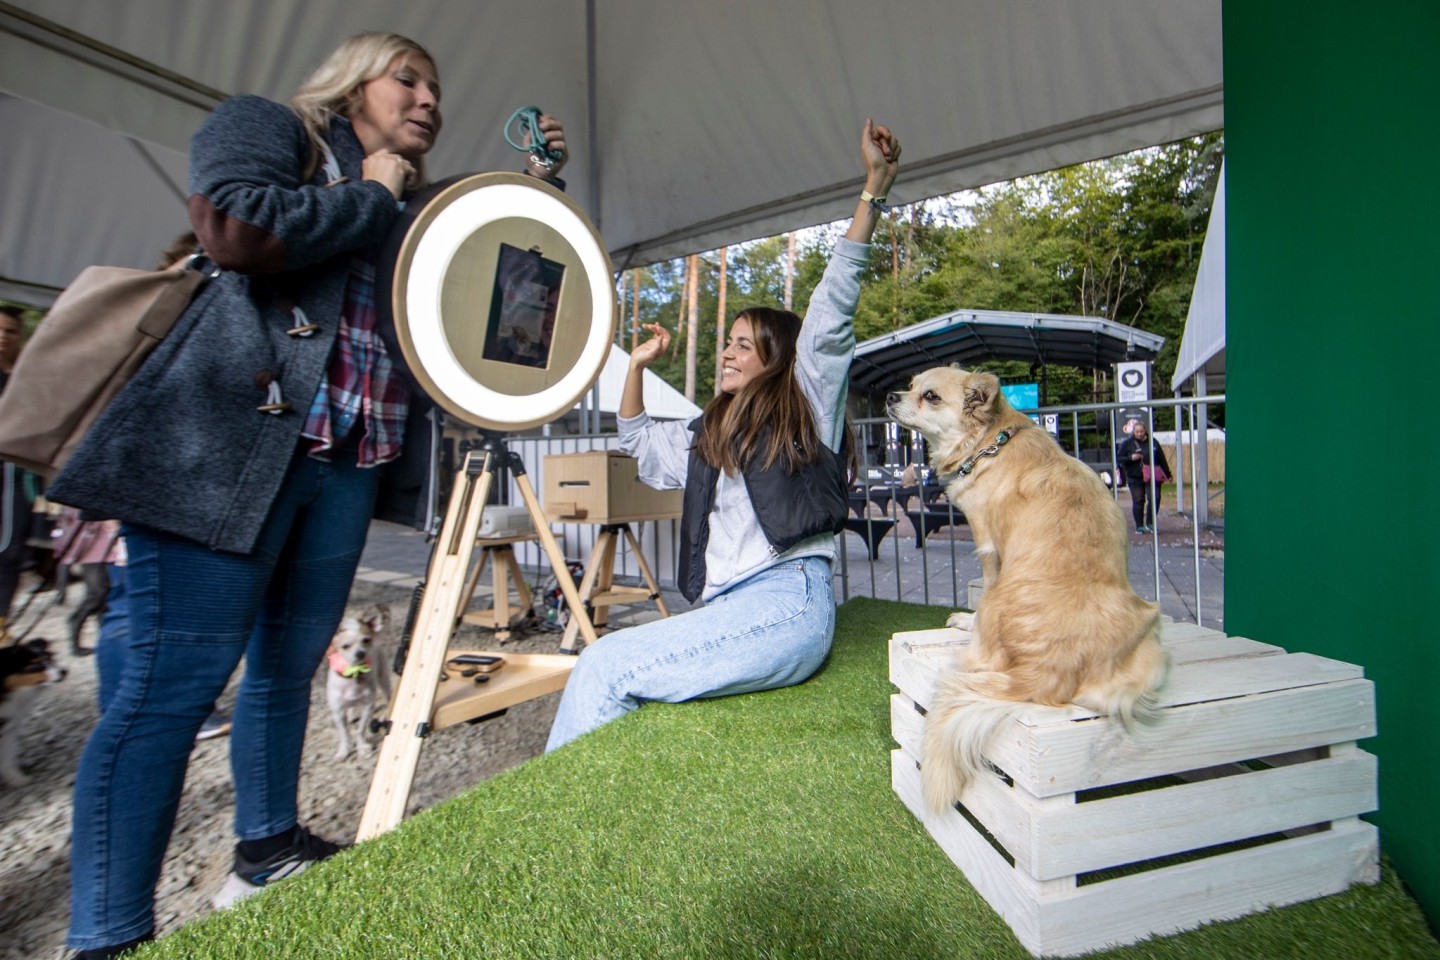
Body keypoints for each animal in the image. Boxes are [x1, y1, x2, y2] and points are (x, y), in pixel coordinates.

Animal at [326, 607, 394, 759]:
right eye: (345, 646)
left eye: (366, 640)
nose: (360, 653)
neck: (354, 674)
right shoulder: (338, 712)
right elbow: (344, 734)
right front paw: (344, 751)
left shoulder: (368, 706)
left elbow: (360, 730)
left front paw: (362, 748)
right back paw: (351, 715)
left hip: (383, 678)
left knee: (388, 695)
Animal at [887, 368, 1169, 811]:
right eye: (910, 385)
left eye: (929, 396)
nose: (889, 396)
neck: (991, 443)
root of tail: (1042, 675)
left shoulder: (988, 546)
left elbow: (982, 588)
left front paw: (965, 622)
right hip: (1150, 644)